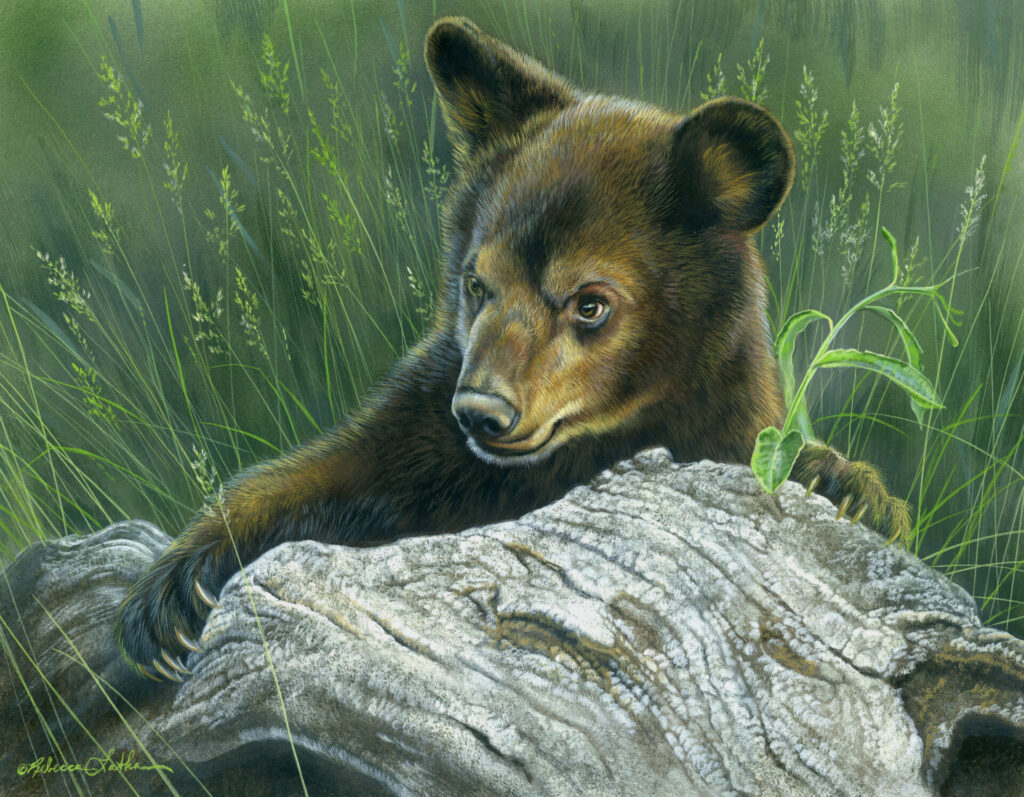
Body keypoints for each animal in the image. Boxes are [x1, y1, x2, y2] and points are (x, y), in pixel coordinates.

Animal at [116, 17, 909, 681]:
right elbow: (320, 472)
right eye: (477, 283)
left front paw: (848, 484)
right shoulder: (415, 429)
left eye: (590, 303)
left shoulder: (721, 418)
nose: (480, 411)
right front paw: (170, 594)